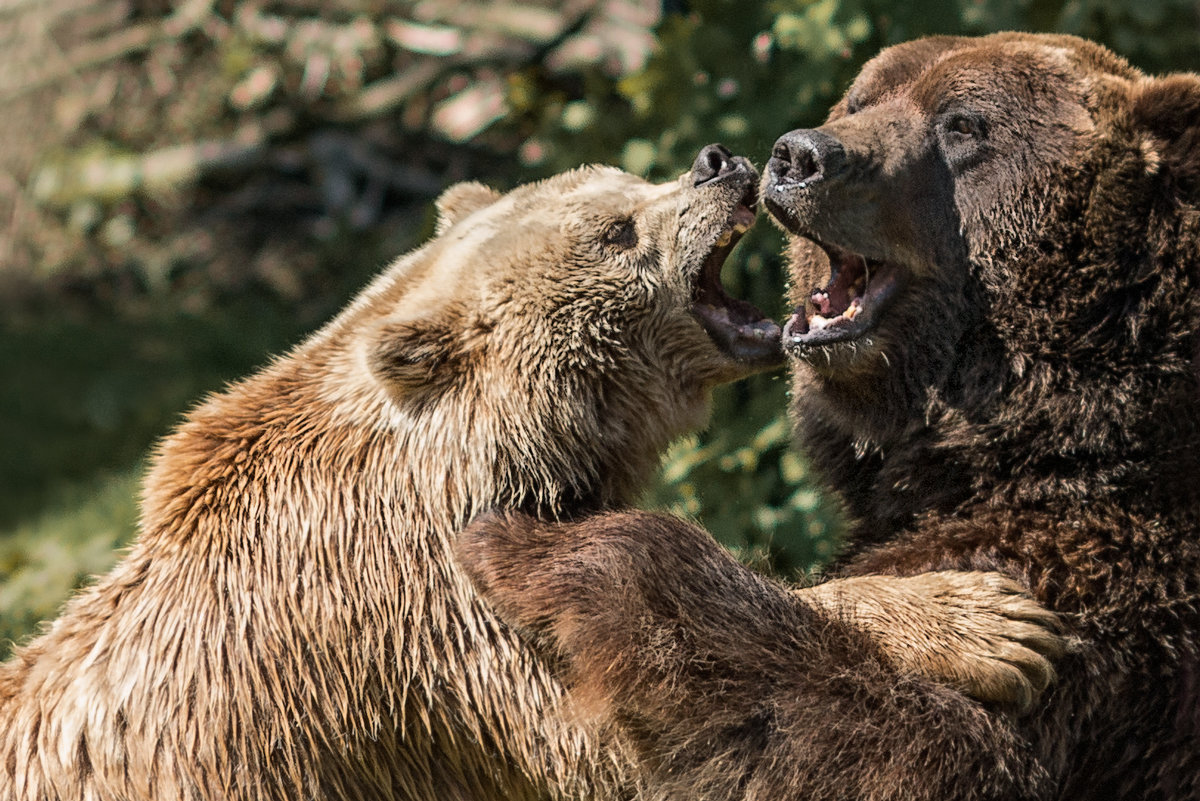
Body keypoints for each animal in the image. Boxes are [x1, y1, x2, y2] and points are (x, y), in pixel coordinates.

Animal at [0, 149, 1060, 801]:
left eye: (625, 179)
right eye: (618, 229)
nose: (719, 162)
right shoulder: (433, 643)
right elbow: (656, 711)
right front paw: (989, 620)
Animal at [456, 32, 1200, 801]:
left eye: (963, 123)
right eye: (862, 97)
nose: (797, 155)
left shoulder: (1103, 597)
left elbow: (888, 743)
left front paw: (525, 539)